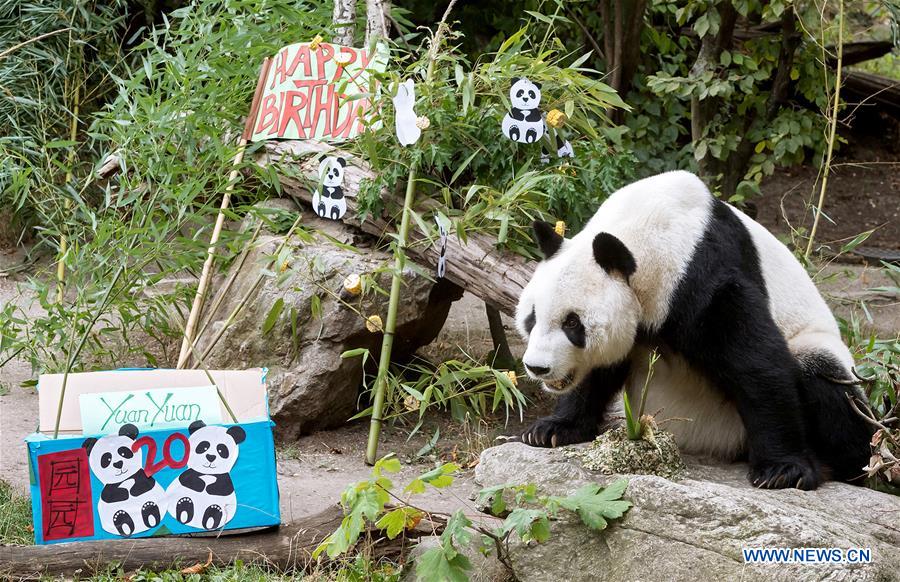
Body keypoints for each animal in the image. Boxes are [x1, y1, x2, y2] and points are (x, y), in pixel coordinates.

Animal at [513, 170, 873, 490]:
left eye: (572, 323)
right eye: (532, 318)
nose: (537, 367)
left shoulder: (700, 278)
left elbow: (757, 365)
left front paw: (783, 471)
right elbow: (599, 371)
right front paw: (551, 430)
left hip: (814, 345)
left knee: (825, 379)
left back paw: (846, 464)